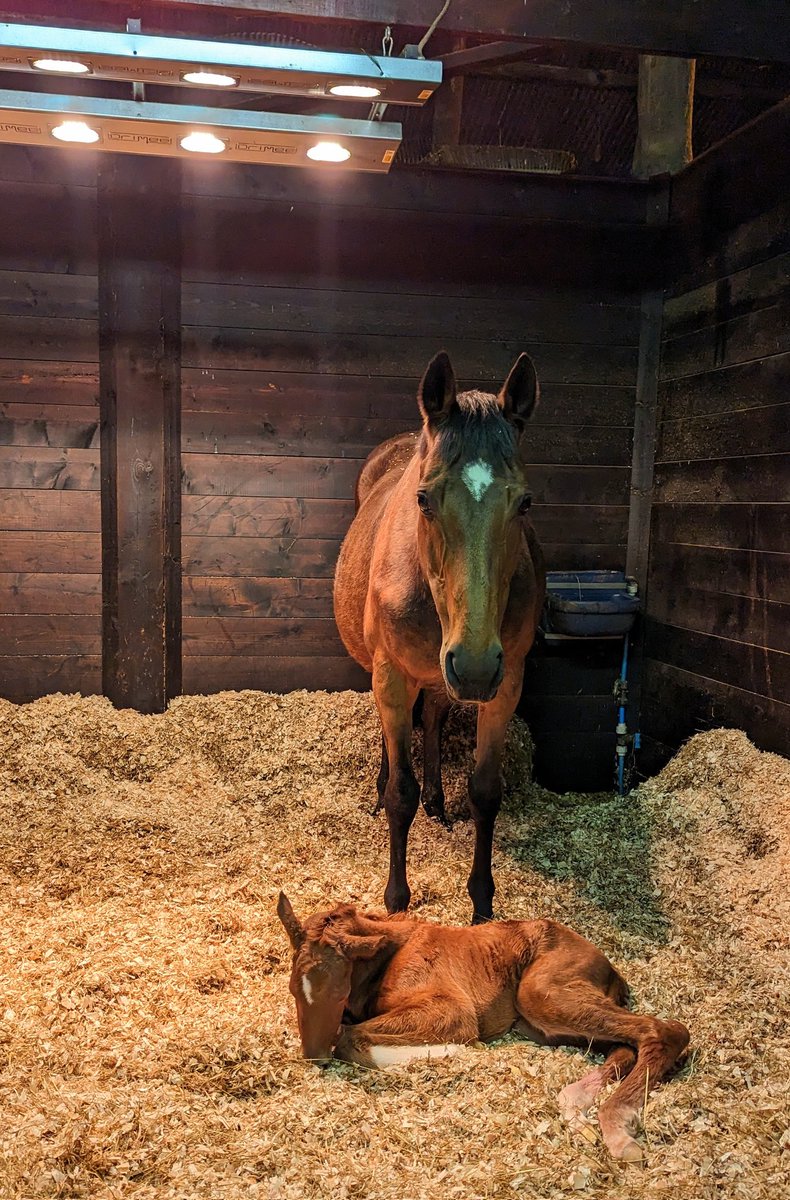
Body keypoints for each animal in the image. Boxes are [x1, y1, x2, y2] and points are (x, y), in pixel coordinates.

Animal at [277, 893, 690, 1162]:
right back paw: (577, 1108)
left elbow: (351, 1038)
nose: (314, 1057)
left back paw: (618, 1131)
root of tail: (608, 965)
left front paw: (459, 1051)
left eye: (340, 991)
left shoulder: (451, 1008)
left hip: (540, 994)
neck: (388, 955)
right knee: (624, 1047)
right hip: (541, 1021)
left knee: (665, 1032)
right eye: (293, 989)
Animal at [333, 351, 546, 923]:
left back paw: (436, 801)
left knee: (430, 718)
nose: (473, 666)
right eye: (424, 500)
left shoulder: (506, 682)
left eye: (524, 504)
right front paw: (396, 902)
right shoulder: (390, 675)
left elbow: (485, 792)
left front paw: (482, 907)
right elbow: (400, 792)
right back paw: (381, 790)